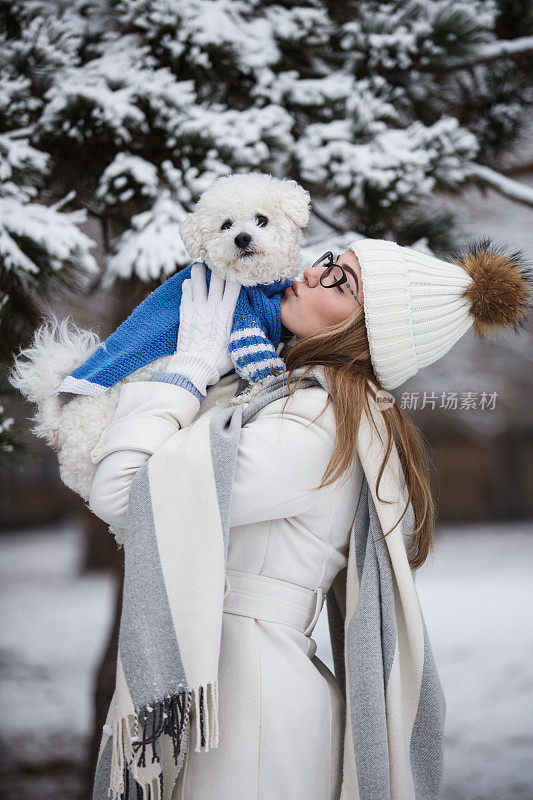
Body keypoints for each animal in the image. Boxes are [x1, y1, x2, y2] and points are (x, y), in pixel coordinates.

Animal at [10, 173, 310, 536]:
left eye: (261, 219)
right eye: (225, 225)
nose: (241, 238)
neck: (256, 287)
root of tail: (60, 425)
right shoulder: (244, 323)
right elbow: (261, 369)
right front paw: (251, 394)